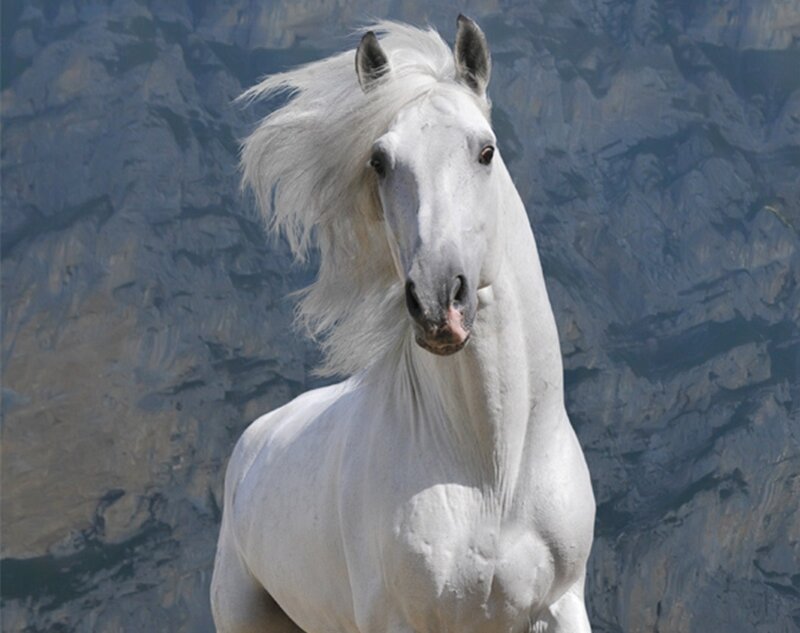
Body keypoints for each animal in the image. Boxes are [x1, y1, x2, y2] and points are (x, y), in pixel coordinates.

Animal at [211, 16, 595, 633]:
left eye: (486, 150)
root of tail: (255, 440)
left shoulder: (561, 603)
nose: (439, 301)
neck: (491, 476)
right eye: (379, 161)